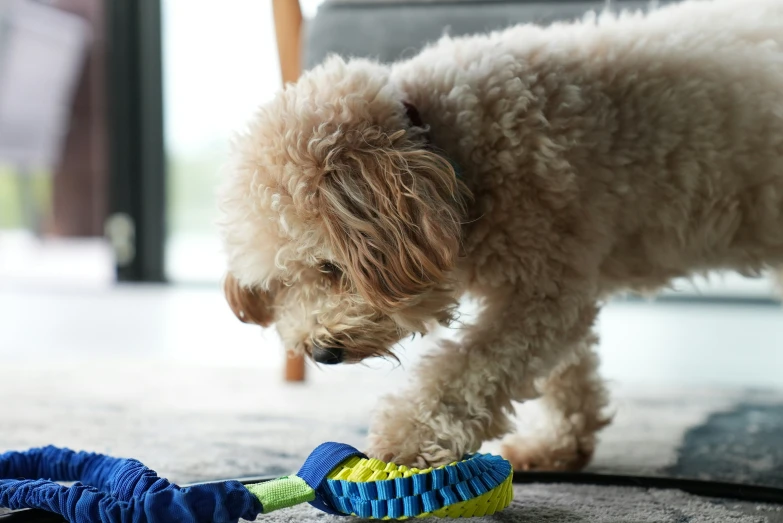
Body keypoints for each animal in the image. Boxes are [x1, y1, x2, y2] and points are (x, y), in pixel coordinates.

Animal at [217, 0, 783, 472]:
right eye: (279, 283)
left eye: (331, 268)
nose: (320, 352)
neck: (448, 146)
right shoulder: (561, 280)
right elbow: (565, 370)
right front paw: (559, 443)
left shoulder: (541, 288)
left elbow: (468, 369)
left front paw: (405, 442)